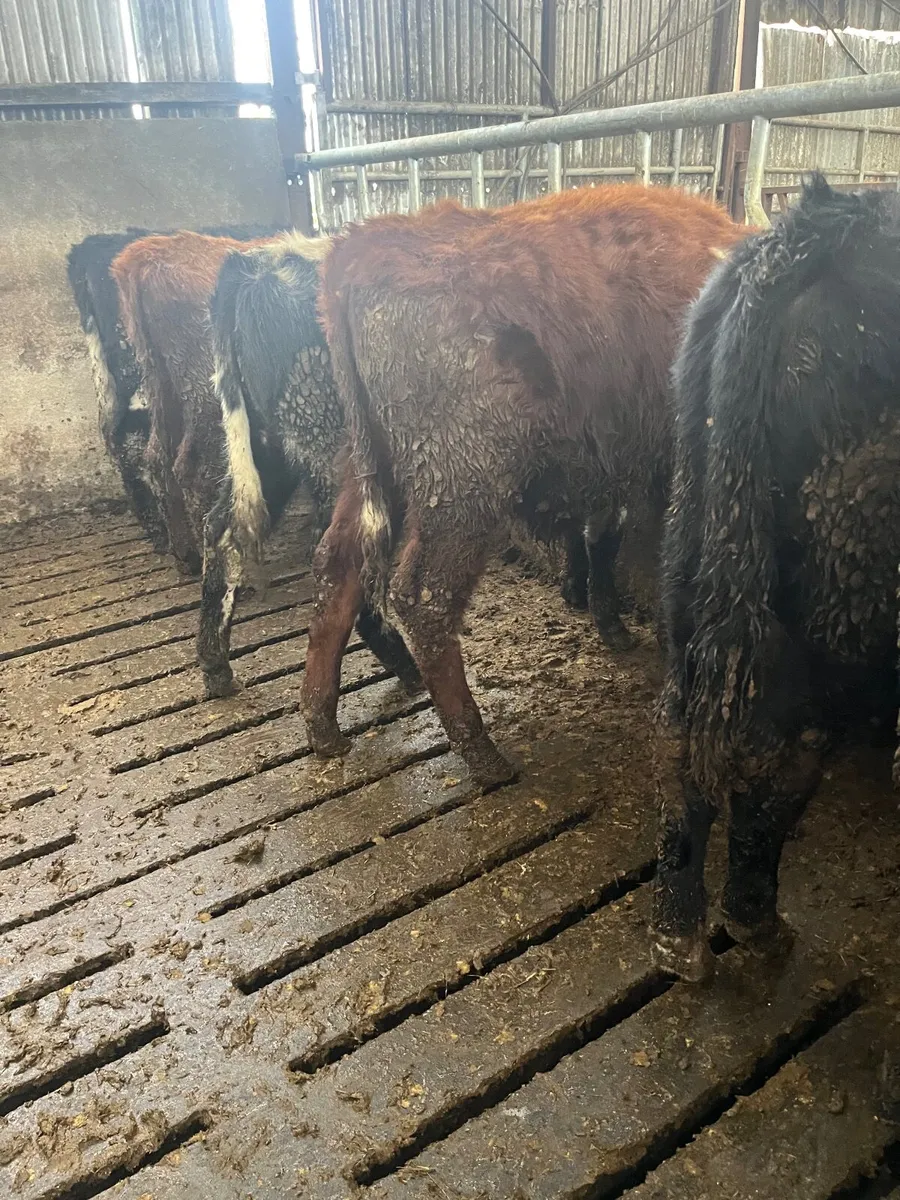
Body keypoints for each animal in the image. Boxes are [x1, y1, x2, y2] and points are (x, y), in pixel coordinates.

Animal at [195, 231, 424, 703]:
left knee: (220, 531)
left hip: (268, 448)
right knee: (337, 556)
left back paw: (217, 668)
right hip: (340, 448)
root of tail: (255, 263)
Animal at [292, 184, 744, 789]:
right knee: (424, 599)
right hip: (462, 490)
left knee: (337, 569)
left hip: (367, 472)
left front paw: (612, 624)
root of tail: (363, 248)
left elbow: (605, 536)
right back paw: (484, 755)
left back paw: (323, 727)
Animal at [652, 175, 900, 983]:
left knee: (682, 742)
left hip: (696, 560)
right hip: (837, 615)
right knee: (783, 754)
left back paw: (678, 935)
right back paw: (757, 928)